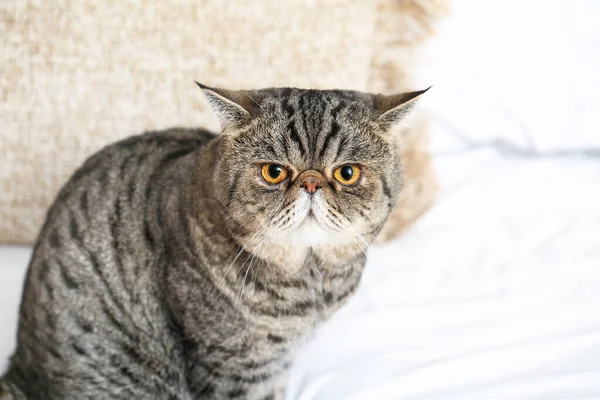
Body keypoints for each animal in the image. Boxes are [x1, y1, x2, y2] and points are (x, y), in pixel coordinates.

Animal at [2, 83, 428, 398]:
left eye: (347, 173)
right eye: (274, 172)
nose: (310, 183)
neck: (309, 282)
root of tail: (20, 370)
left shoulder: (276, 364)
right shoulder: (231, 366)